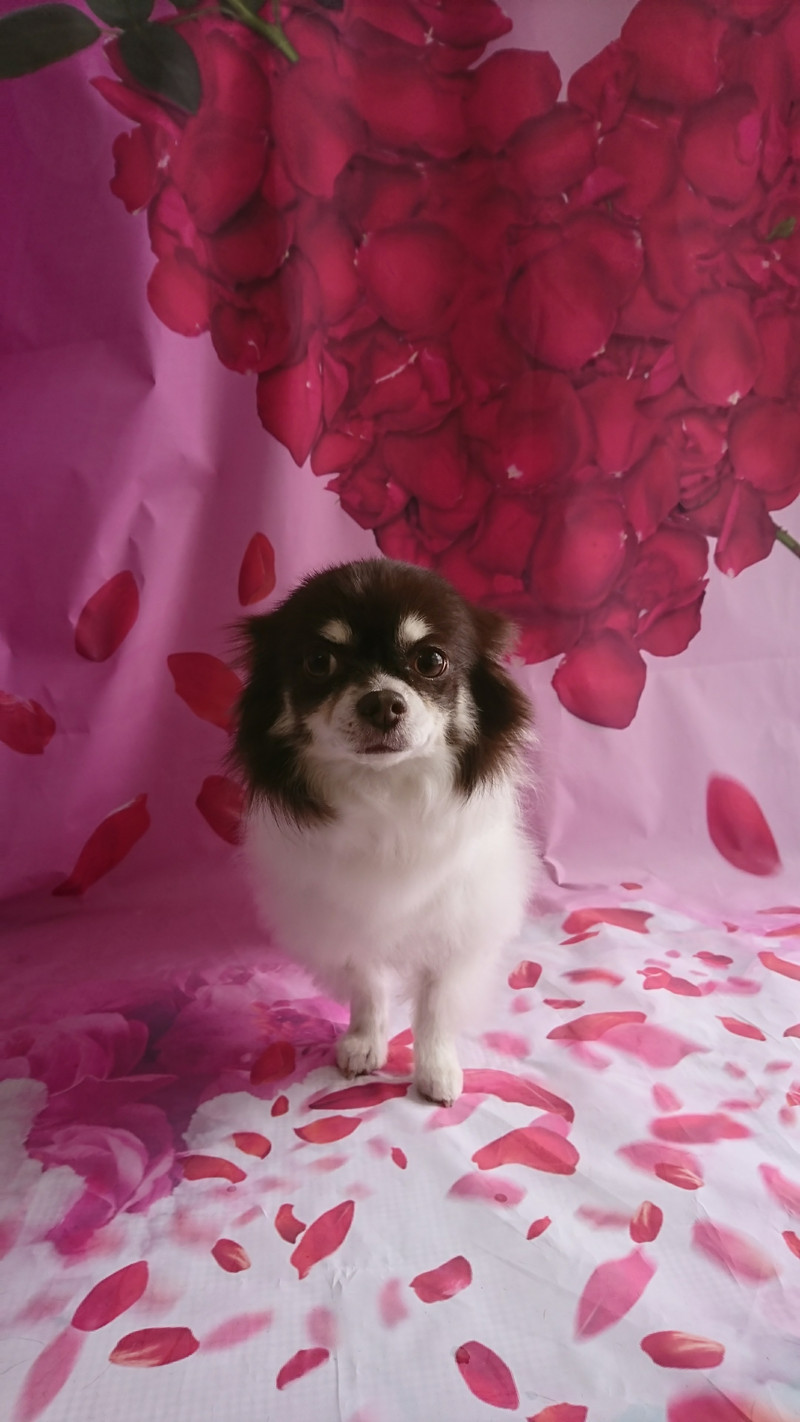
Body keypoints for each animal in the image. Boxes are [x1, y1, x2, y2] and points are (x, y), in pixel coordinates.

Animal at [232, 558, 535, 1106]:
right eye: (319, 662)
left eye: (431, 660)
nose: (381, 703)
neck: (385, 792)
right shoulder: (342, 921)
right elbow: (367, 985)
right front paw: (364, 1043)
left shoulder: (457, 923)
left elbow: (435, 1003)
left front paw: (436, 1069)